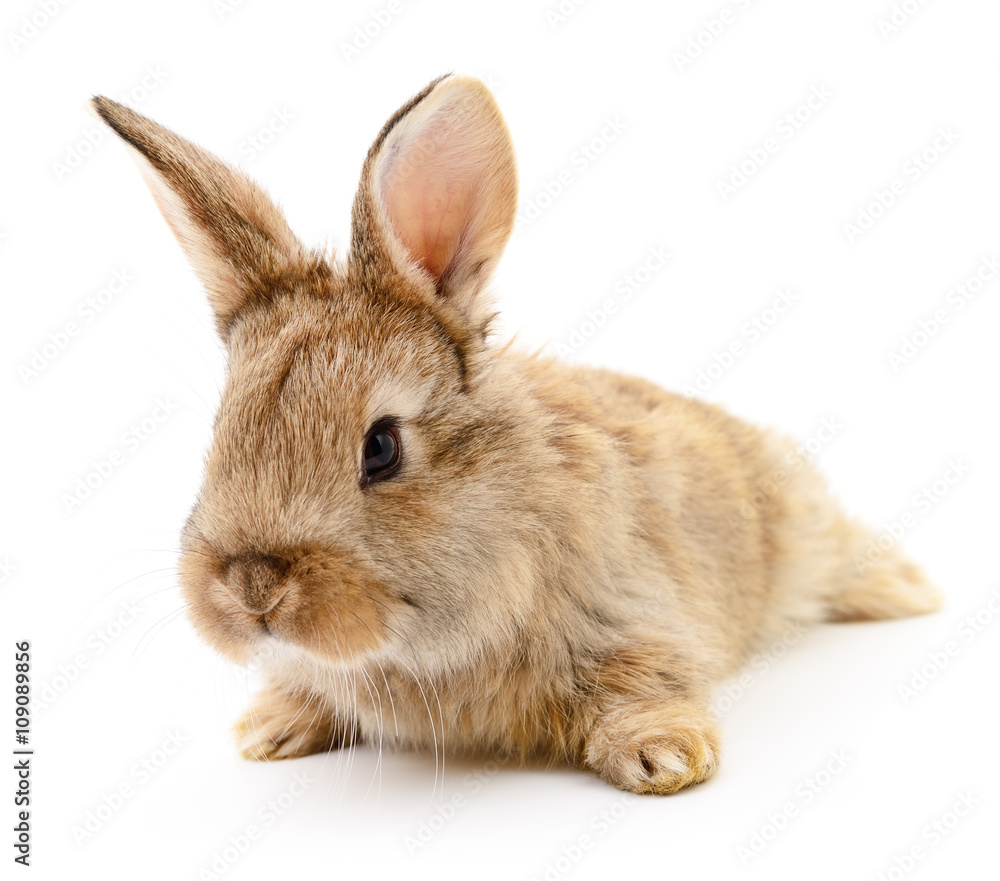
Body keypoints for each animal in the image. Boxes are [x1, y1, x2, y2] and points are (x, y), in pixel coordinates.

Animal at [91, 74, 941, 795]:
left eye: (381, 446)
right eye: (221, 430)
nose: (253, 589)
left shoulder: (636, 616)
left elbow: (643, 685)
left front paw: (666, 756)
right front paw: (270, 728)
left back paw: (910, 590)